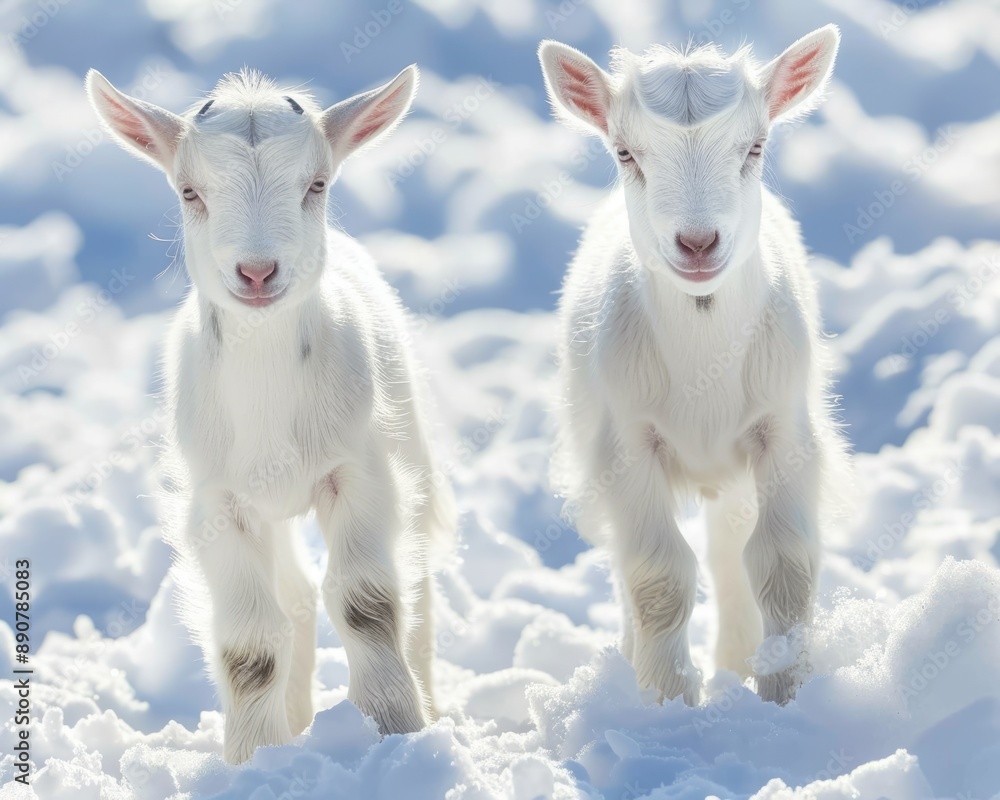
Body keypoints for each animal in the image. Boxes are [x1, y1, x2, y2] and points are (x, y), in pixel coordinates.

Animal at [86, 66, 454, 763]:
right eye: (189, 191)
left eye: (316, 184)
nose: (256, 272)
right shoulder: (219, 504)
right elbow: (252, 643)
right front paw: (253, 757)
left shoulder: (359, 473)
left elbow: (367, 604)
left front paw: (395, 727)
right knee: (295, 599)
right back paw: (298, 720)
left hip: (411, 445)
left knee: (416, 581)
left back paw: (430, 702)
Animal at [538, 26, 847, 705]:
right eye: (625, 152)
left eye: (755, 145)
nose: (698, 244)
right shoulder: (627, 444)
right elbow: (657, 576)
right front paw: (668, 700)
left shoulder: (784, 430)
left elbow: (782, 562)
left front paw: (783, 692)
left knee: (731, 548)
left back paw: (737, 660)